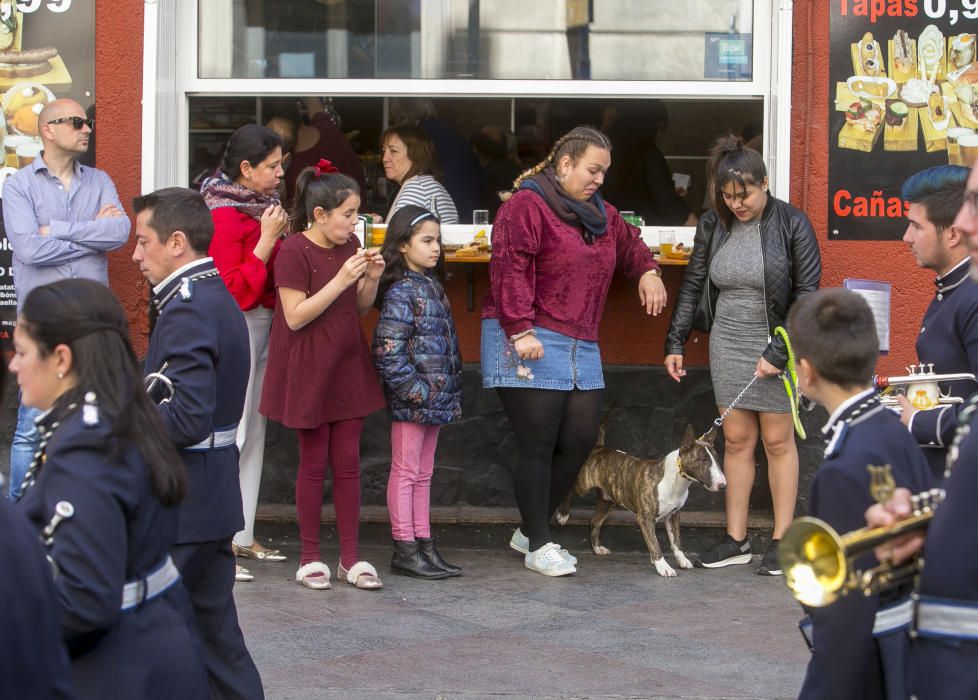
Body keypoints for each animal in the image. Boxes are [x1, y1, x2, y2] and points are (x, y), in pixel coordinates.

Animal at [556, 422, 724, 576]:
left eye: (716, 458)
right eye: (702, 460)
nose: (723, 485)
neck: (676, 480)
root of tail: (599, 448)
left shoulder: (673, 515)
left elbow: (676, 541)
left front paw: (682, 560)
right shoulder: (645, 518)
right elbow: (655, 544)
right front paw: (663, 567)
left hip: (607, 500)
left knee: (595, 521)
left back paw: (598, 548)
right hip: (583, 486)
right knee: (569, 489)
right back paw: (563, 515)